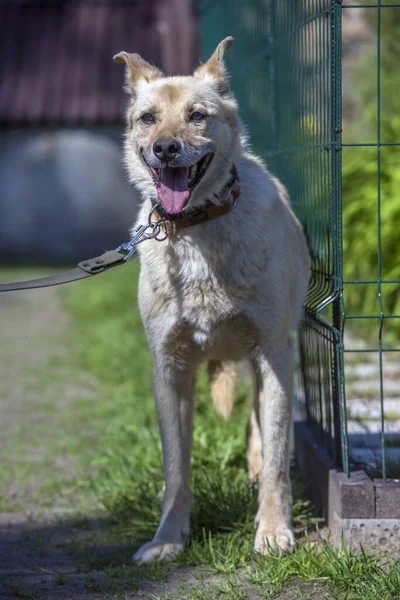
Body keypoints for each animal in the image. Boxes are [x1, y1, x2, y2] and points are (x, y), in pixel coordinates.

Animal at [114, 36, 310, 564]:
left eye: (197, 115)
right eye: (148, 118)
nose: (165, 148)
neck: (196, 228)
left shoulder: (272, 354)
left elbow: (278, 459)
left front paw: (273, 531)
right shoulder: (170, 368)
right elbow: (175, 472)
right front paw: (167, 540)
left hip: (274, 362)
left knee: (264, 435)